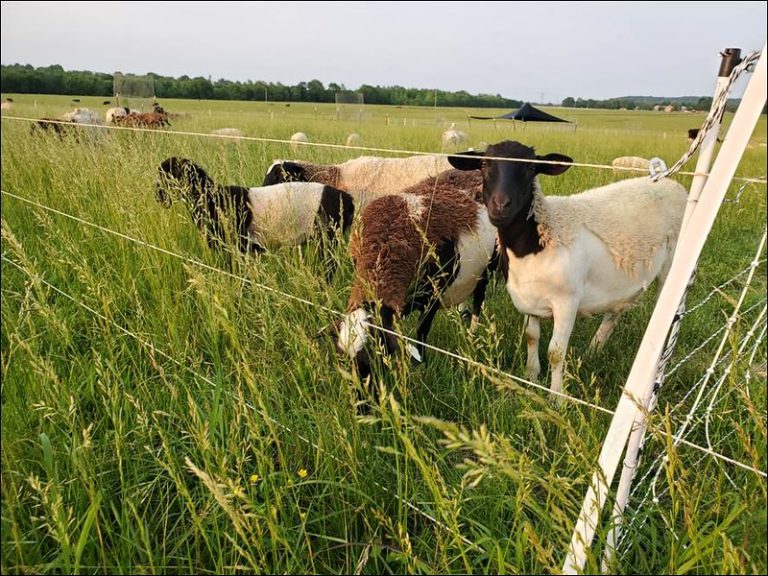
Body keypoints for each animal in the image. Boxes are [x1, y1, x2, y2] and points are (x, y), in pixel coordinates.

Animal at [155, 157, 354, 275]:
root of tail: (348, 200)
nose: (158, 198)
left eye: (166, 176)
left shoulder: (236, 248)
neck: (210, 197)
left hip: (327, 241)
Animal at [330, 170, 497, 379]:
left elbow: (422, 331)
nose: (360, 389)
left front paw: (422, 364)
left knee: (479, 300)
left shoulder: (433, 295)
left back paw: (471, 334)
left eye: (374, 358)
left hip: (488, 268)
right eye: (341, 359)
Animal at [448, 140, 687, 397]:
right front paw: (531, 375)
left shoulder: (567, 302)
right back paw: (594, 350)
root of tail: (667, 180)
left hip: (671, 266)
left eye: (532, 168)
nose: (500, 206)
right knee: (615, 312)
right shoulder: (529, 300)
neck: (540, 238)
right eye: (484, 164)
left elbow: (555, 352)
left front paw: (556, 396)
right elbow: (531, 337)